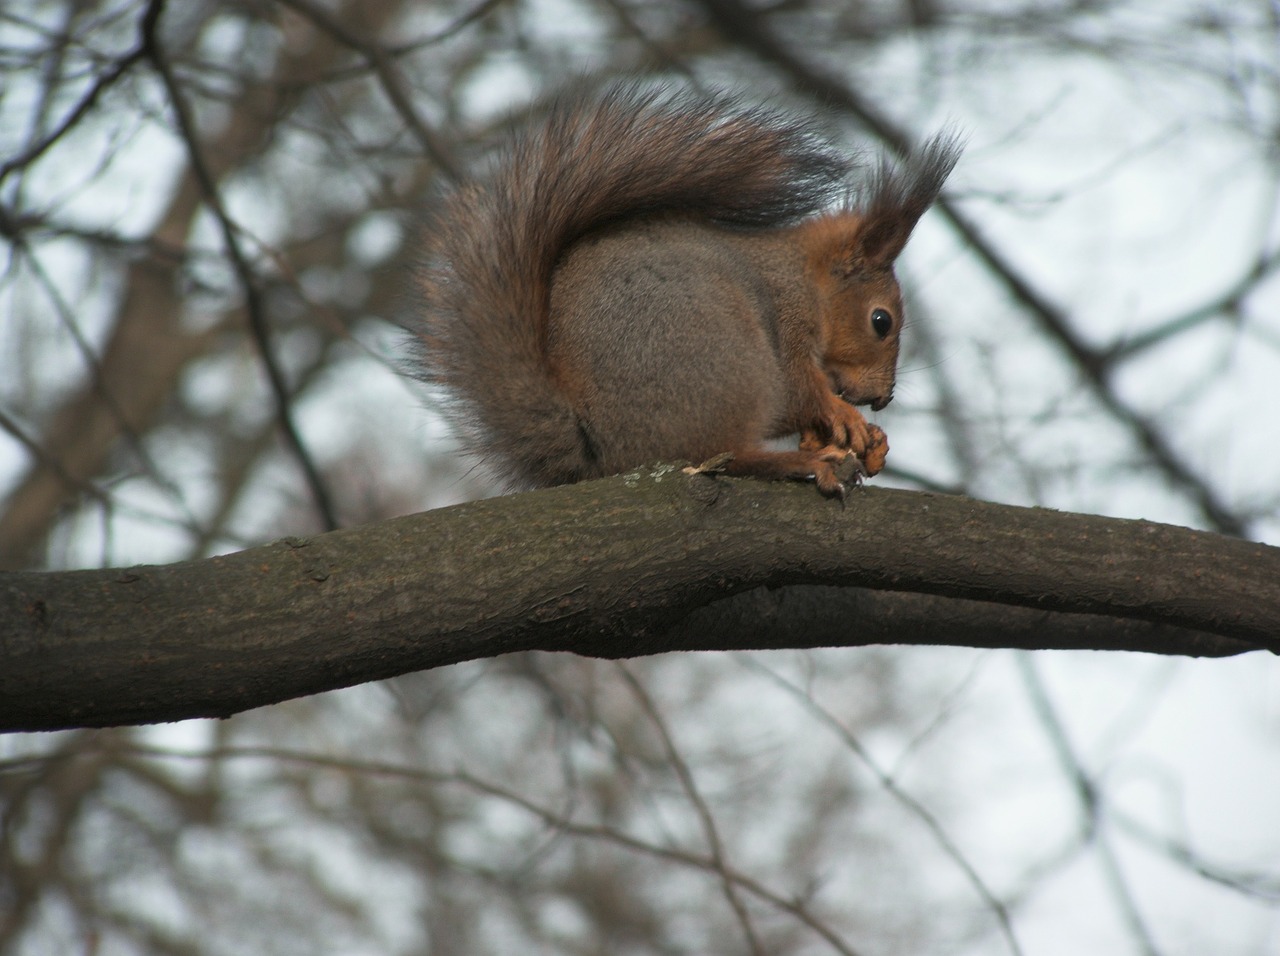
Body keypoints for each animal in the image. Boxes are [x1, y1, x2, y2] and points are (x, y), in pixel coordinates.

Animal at [412, 85, 962, 496]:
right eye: (881, 321)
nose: (882, 398)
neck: (801, 275)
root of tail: (603, 448)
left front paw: (869, 439)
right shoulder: (787, 318)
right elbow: (799, 387)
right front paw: (841, 417)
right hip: (732, 363)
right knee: (719, 454)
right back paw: (797, 464)